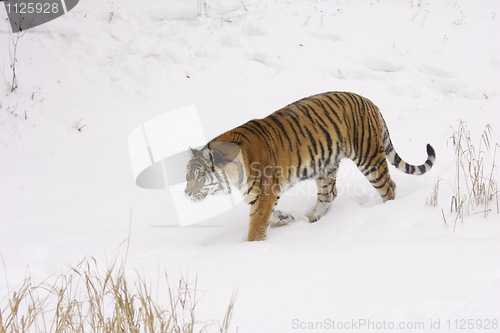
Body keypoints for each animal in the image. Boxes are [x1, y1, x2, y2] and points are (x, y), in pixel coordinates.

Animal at [184, 91, 434, 241]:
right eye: (187, 176)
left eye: (199, 176)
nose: (186, 193)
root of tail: (370, 102)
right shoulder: (262, 195)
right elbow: (269, 215)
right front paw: (286, 218)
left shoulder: (264, 193)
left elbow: (257, 225)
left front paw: (249, 247)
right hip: (326, 166)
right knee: (329, 194)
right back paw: (312, 219)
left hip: (369, 157)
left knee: (388, 187)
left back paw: (387, 213)